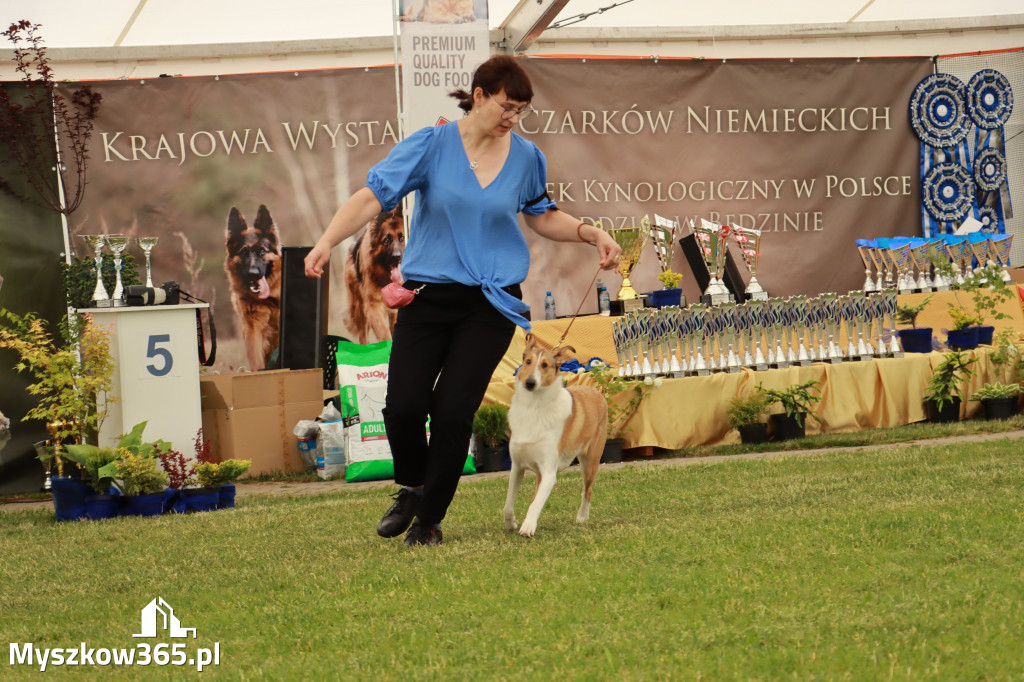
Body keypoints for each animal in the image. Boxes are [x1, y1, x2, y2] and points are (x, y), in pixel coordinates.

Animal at [503, 333, 606, 536]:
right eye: (528, 361)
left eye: (545, 365)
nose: (530, 383)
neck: (534, 407)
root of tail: (595, 390)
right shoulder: (517, 466)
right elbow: (508, 504)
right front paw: (512, 523)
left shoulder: (550, 472)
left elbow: (535, 504)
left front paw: (527, 527)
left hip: (590, 462)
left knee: (587, 490)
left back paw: (582, 517)